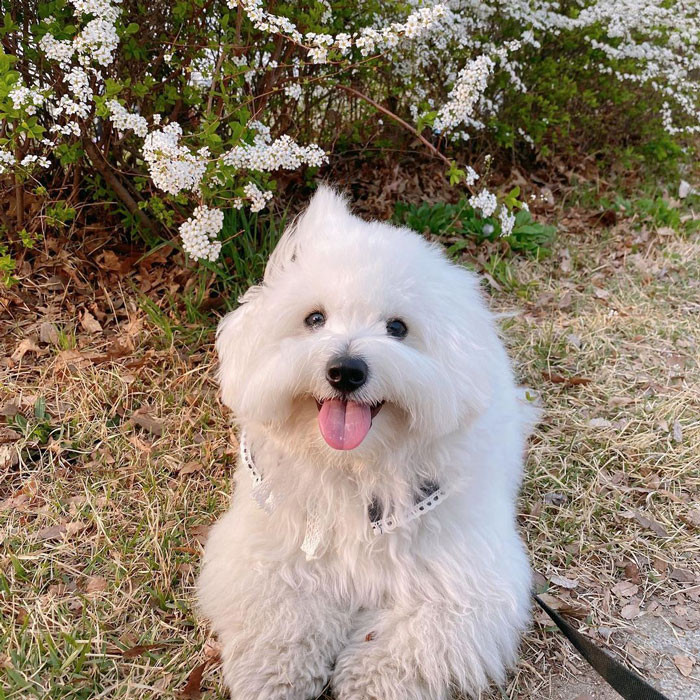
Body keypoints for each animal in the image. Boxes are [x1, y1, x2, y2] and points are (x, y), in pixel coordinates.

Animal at [200, 186, 532, 700]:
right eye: (314, 318)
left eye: (397, 328)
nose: (345, 370)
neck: (353, 467)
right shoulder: (266, 551)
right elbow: (279, 620)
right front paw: (276, 676)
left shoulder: (464, 581)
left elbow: (409, 643)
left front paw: (368, 681)